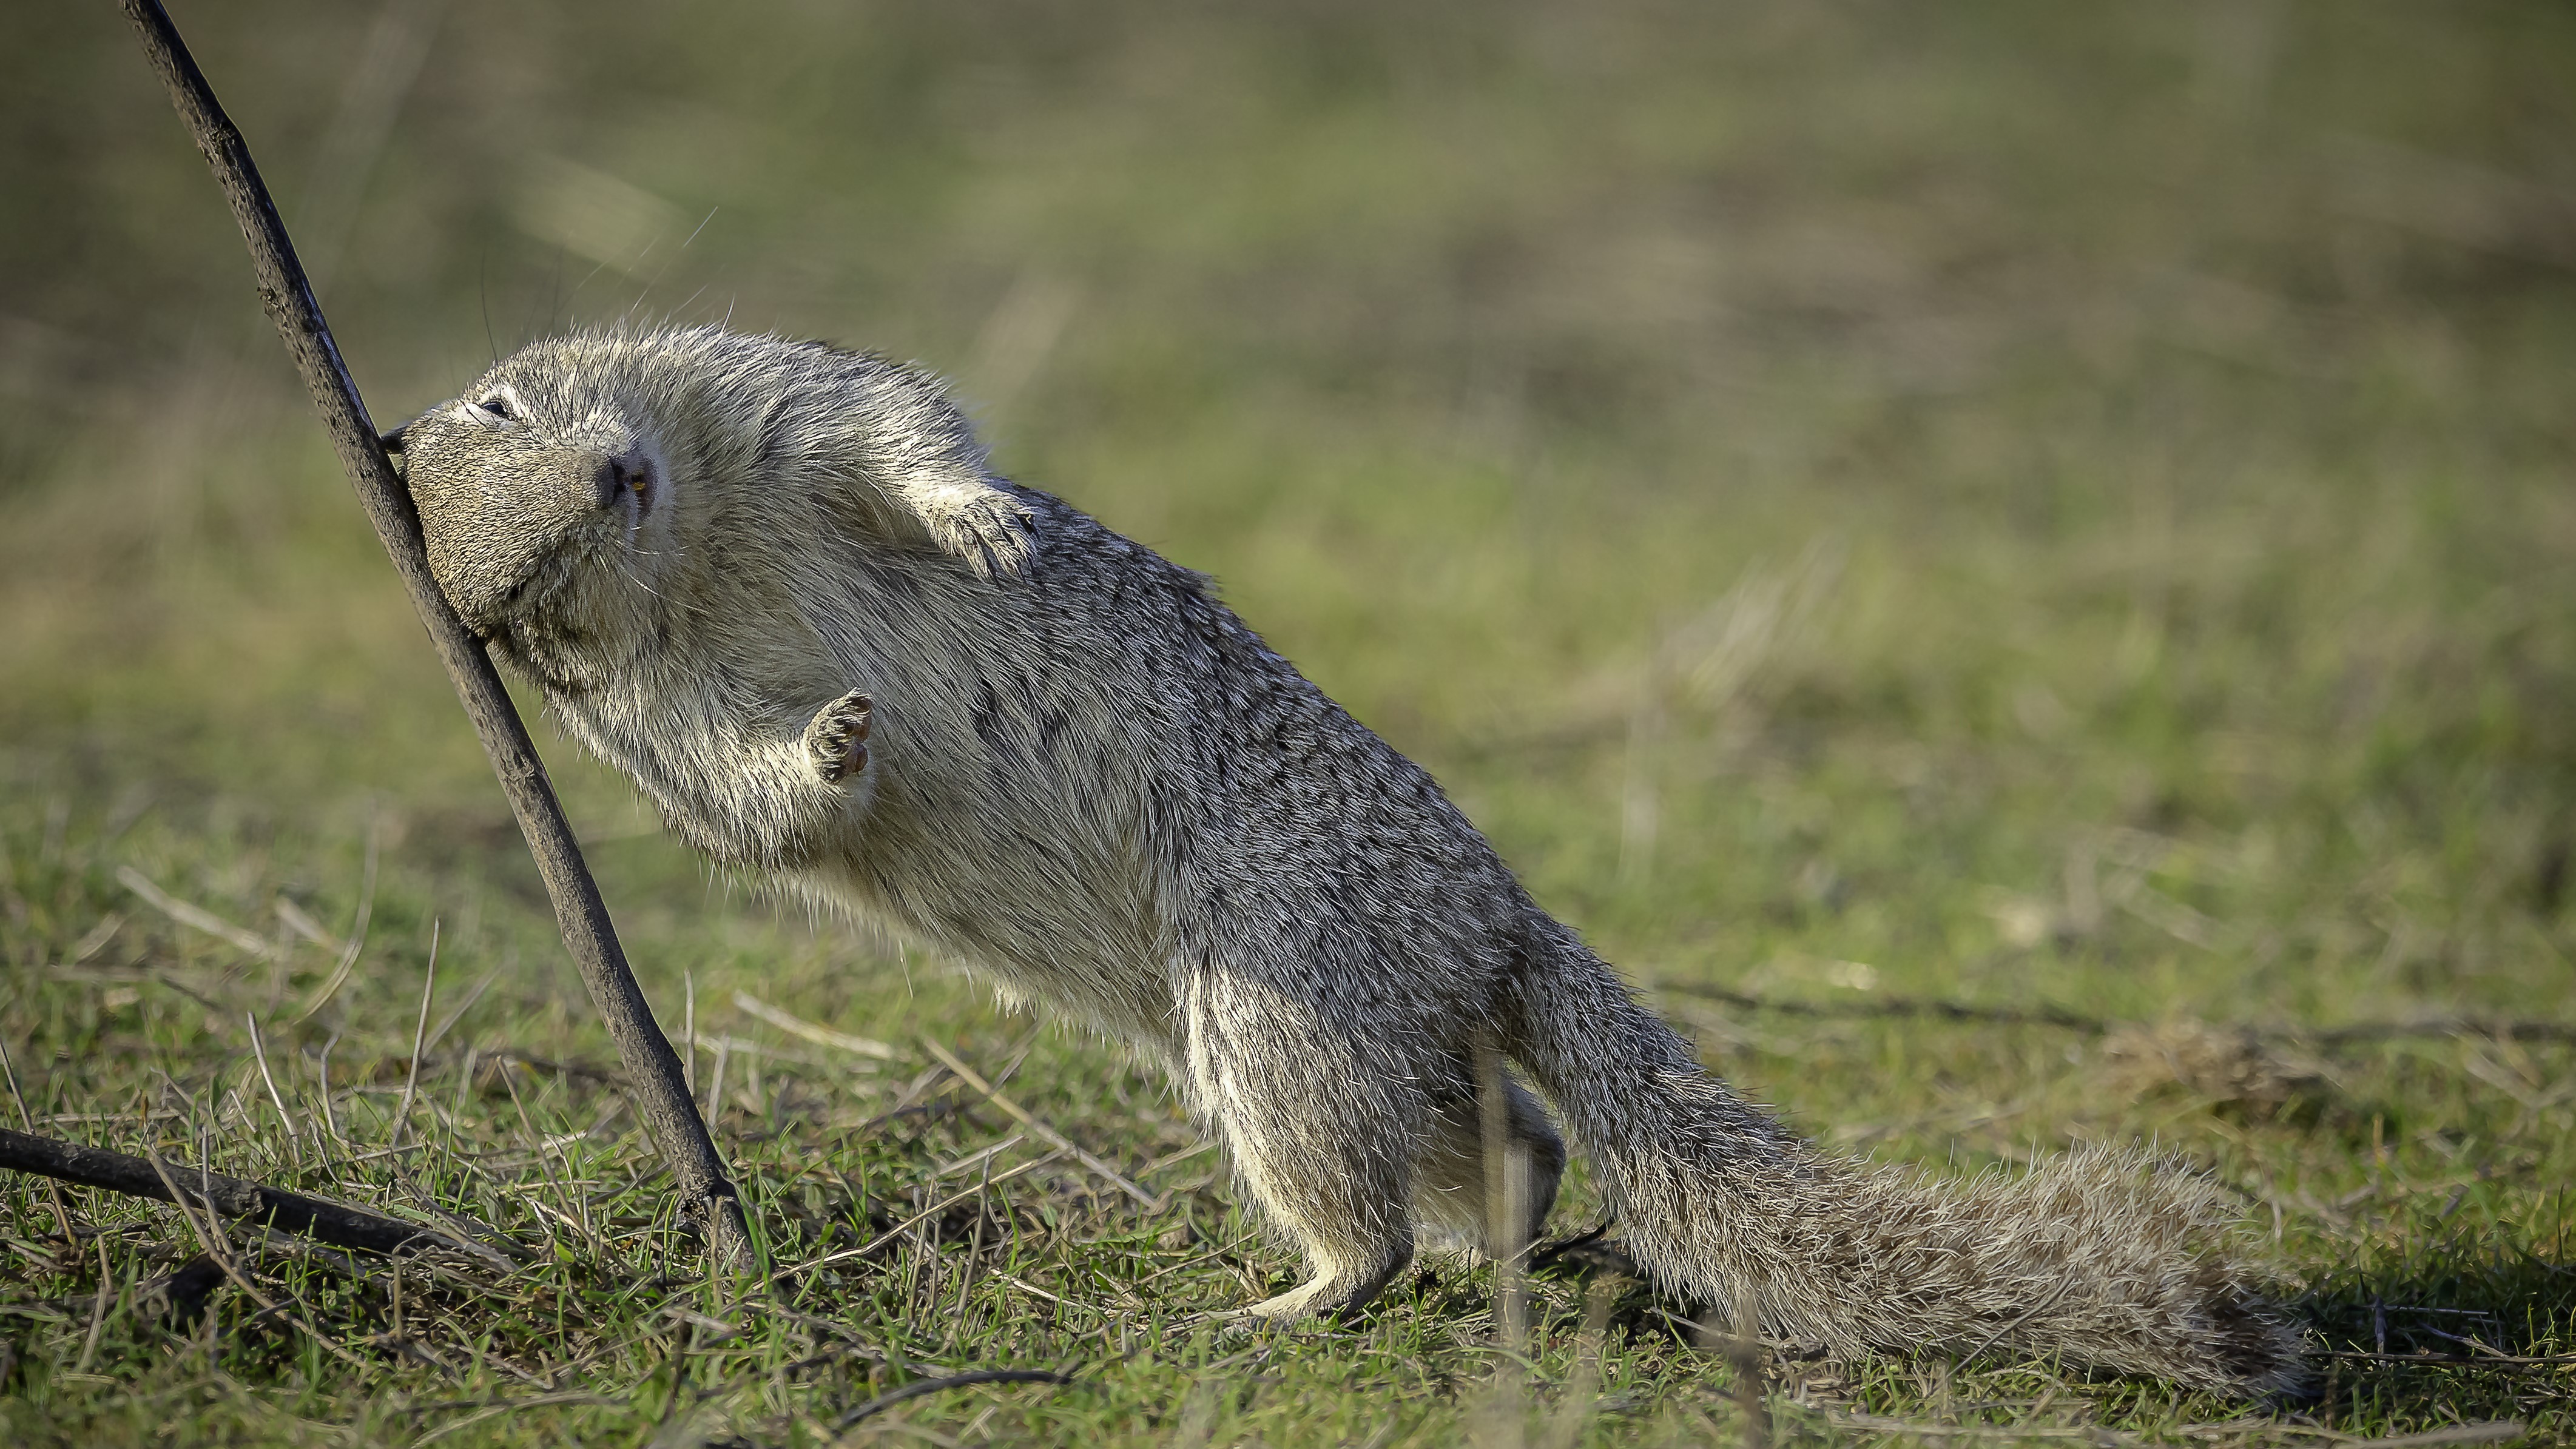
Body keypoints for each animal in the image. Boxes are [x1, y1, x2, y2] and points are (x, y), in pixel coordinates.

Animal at [388, 325, 2305, 1395]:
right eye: (522, 591)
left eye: (504, 400)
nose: (620, 478)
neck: (701, 546)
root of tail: (1495, 916)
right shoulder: (653, 719)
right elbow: (752, 791)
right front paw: (834, 746)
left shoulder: (750, 392)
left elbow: (888, 417)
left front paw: (977, 525)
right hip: (1310, 1031)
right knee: (1480, 1164)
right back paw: (1410, 1282)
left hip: (1284, 994)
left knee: (1421, 1188)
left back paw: (1315, 1302)